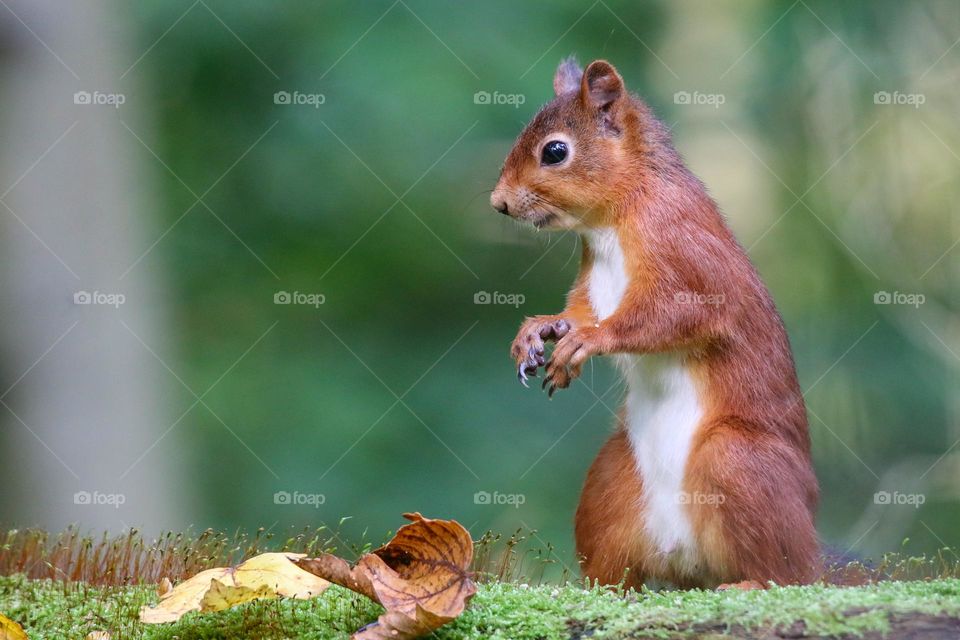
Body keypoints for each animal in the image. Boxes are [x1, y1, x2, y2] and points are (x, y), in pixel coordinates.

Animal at [490, 58, 819, 590]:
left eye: (555, 151)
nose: (498, 203)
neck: (610, 221)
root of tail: (687, 559)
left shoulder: (685, 253)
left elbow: (673, 315)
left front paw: (588, 341)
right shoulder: (591, 284)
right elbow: (576, 312)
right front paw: (537, 332)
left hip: (740, 464)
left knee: (792, 574)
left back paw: (751, 580)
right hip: (610, 481)